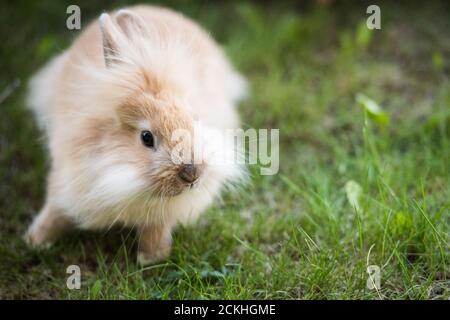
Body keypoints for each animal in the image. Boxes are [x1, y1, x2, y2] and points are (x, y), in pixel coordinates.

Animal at [24, 5, 248, 264]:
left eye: (195, 118)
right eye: (146, 138)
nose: (192, 174)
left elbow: (157, 228)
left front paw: (151, 257)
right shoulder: (66, 178)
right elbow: (55, 209)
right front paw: (36, 241)